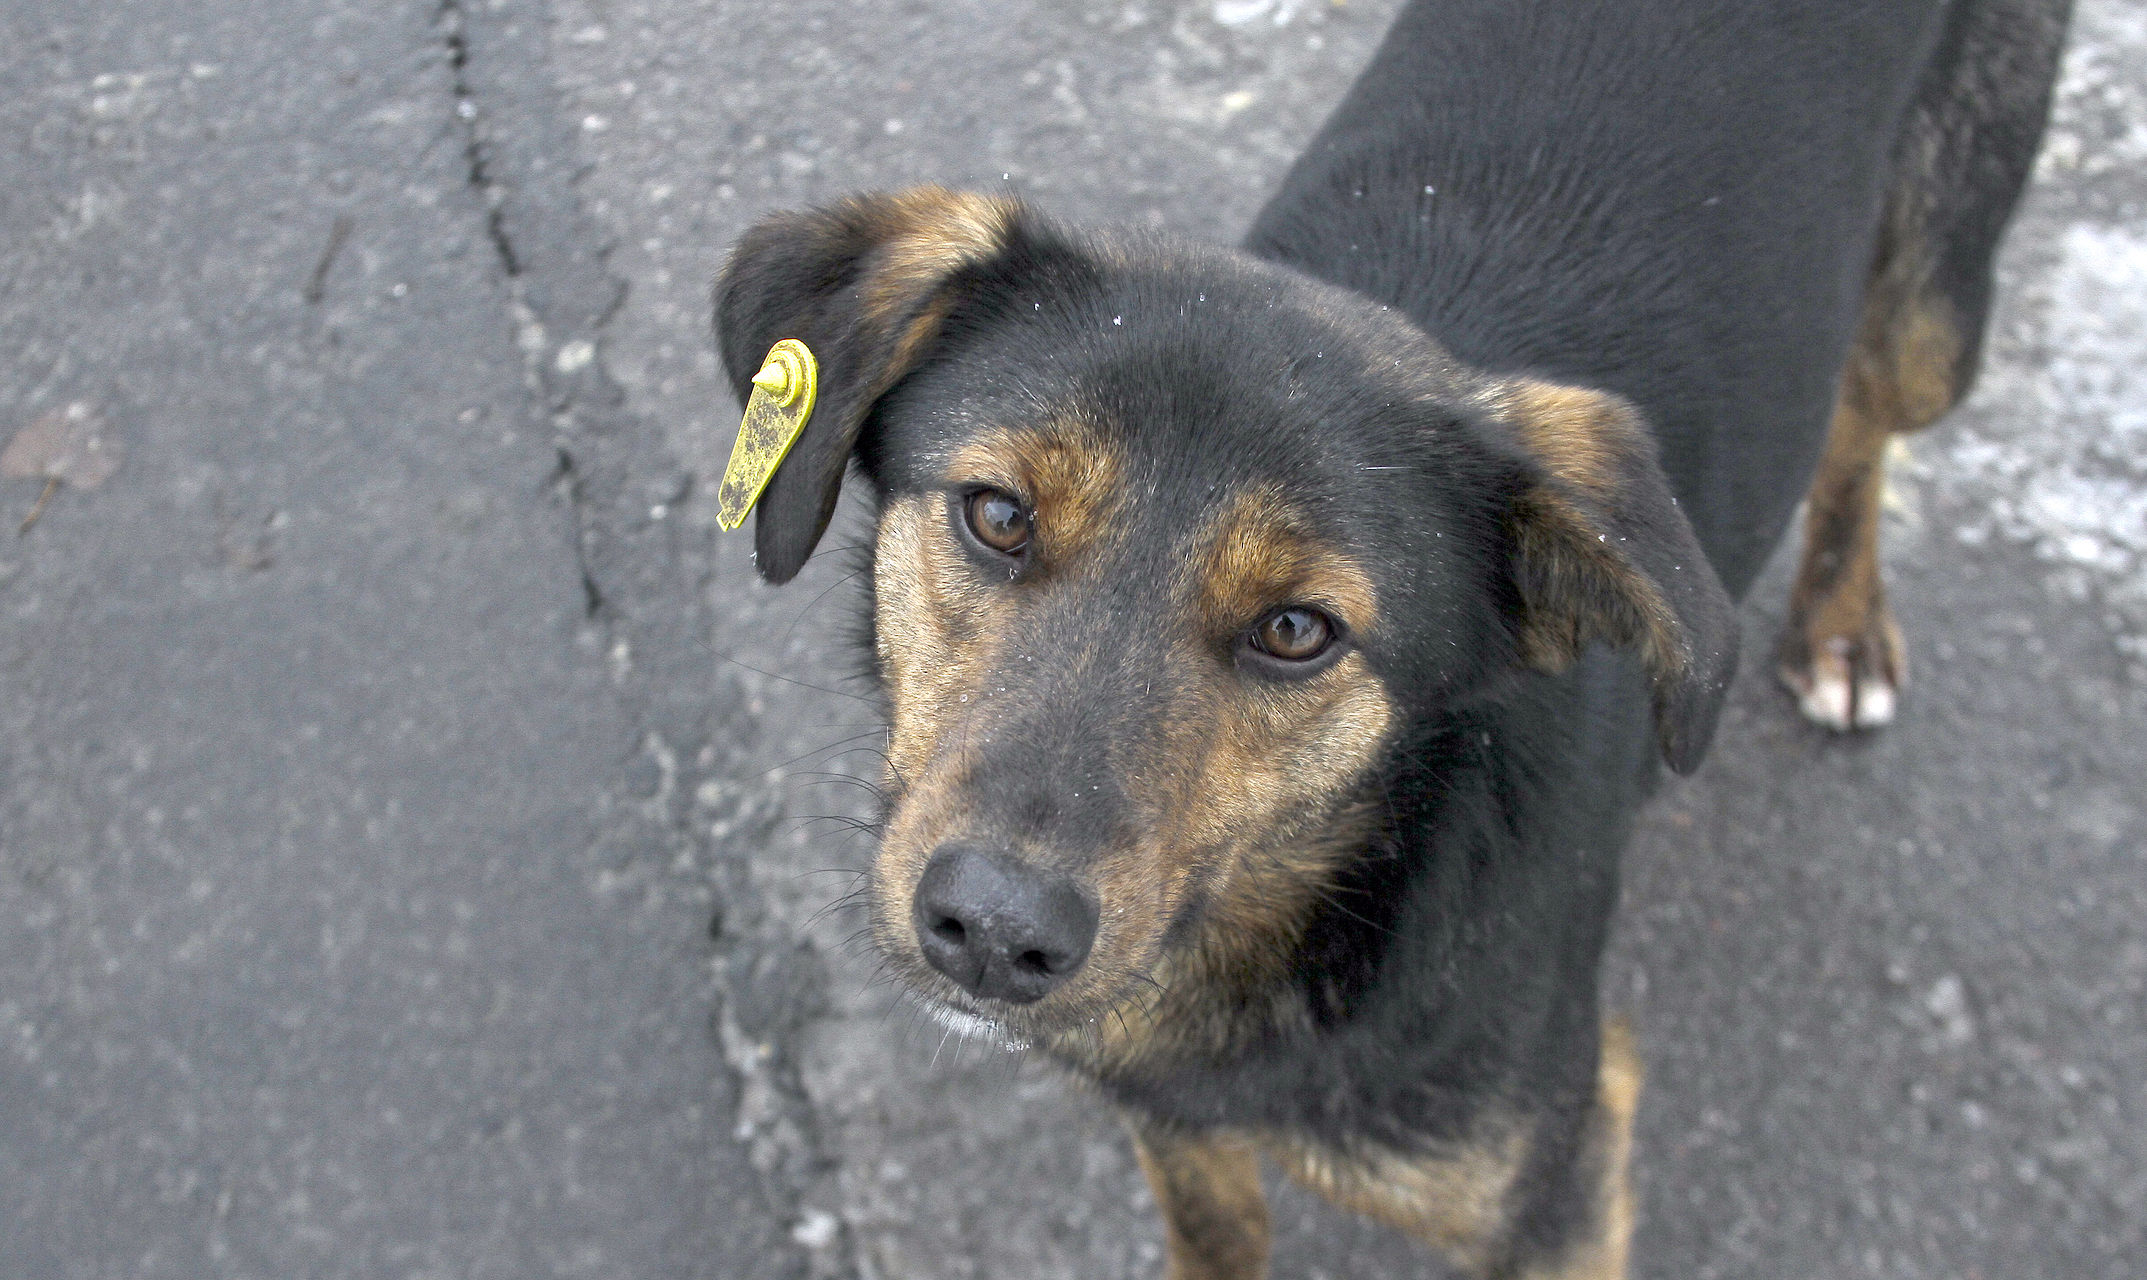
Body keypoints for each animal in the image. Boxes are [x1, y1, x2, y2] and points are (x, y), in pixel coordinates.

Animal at [712, 5, 2069, 1271]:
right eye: (996, 515)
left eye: (1295, 630)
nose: (995, 932)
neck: (1315, 887)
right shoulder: (1175, 1124)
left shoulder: (1556, 1179)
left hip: (1932, 315)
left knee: (1866, 415)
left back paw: (1840, 623)